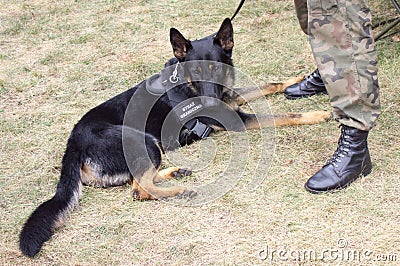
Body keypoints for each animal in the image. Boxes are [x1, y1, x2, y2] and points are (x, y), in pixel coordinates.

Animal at [18, 17, 330, 256]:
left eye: (216, 69)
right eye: (195, 71)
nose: (210, 100)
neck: (187, 85)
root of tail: (73, 142)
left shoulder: (232, 100)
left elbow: (269, 85)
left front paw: (295, 81)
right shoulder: (237, 119)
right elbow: (284, 117)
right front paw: (319, 114)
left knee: (139, 181)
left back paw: (175, 172)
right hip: (144, 141)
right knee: (139, 189)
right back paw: (179, 190)